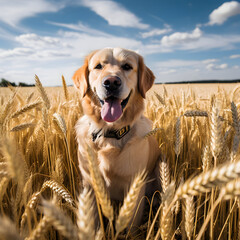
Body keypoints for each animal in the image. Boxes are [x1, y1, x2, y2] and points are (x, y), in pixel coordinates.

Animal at [73, 46, 159, 229]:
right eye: (98, 66)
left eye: (127, 66)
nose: (111, 82)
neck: (110, 132)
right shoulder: (89, 183)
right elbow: (92, 221)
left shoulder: (134, 185)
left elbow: (130, 224)